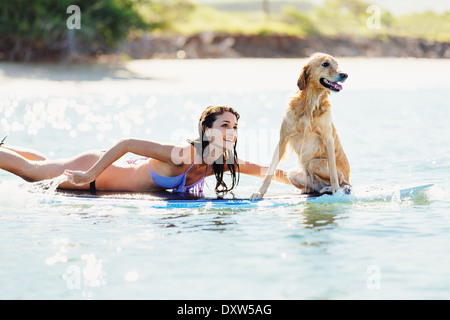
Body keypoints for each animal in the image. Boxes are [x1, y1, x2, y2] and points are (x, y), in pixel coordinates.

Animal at [251, 52, 350, 200]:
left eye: (337, 64)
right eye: (325, 64)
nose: (345, 75)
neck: (311, 102)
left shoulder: (328, 139)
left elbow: (333, 172)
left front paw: (336, 190)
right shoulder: (283, 139)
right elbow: (270, 170)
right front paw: (260, 192)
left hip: (315, 163)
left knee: (345, 183)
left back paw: (334, 188)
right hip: (293, 173)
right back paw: (309, 189)